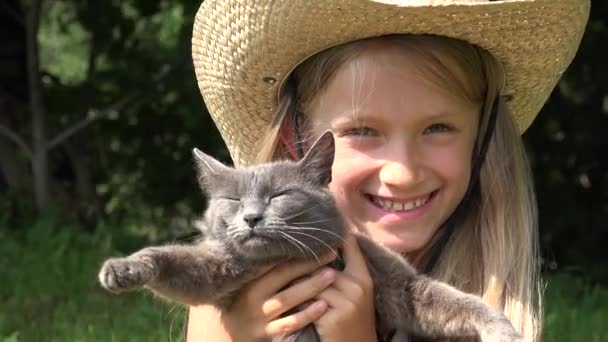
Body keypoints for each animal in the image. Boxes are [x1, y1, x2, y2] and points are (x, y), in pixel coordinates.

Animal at [97, 132, 520, 342]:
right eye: (233, 200)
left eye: (279, 195)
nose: (251, 217)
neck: (290, 261)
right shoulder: (221, 271)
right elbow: (175, 262)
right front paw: (123, 268)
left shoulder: (395, 282)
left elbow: (452, 301)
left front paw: (503, 331)